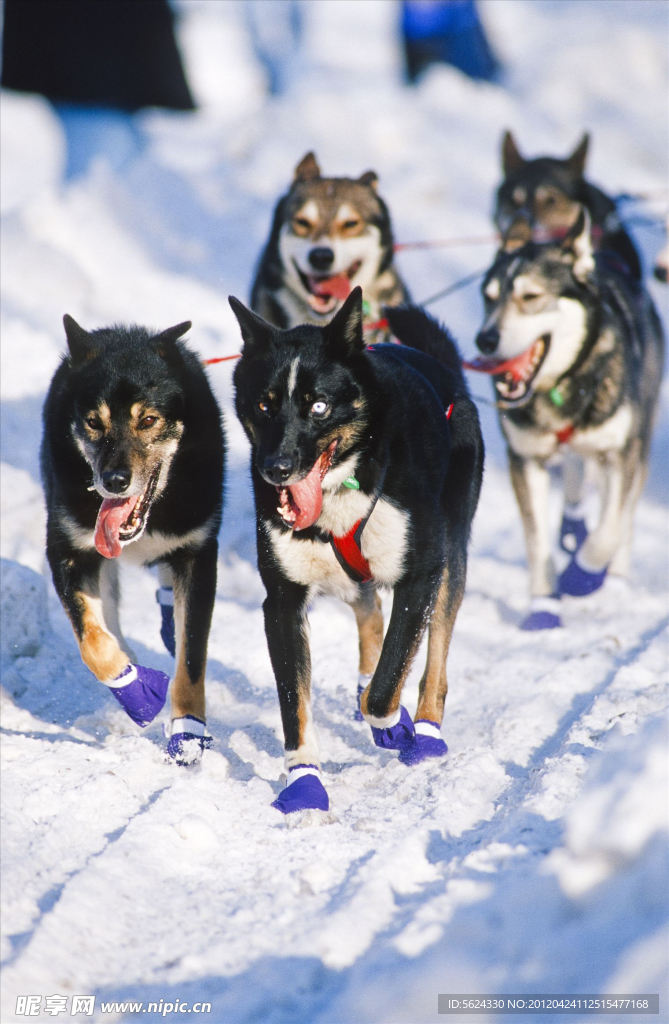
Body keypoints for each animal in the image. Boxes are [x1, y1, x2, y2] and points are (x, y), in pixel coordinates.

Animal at [42, 315, 224, 765]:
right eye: (94, 422)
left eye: (148, 420)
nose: (114, 480)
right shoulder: (69, 551)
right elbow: (93, 642)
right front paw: (137, 689)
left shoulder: (197, 554)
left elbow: (191, 658)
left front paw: (188, 732)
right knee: (107, 618)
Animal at [229, 288, 479, 815]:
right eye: (264, 404)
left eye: (319, 407)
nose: (276, 468)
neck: (342, 490)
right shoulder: (282, 600)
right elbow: (294, 703)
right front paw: (304, 781)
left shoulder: (421, 575)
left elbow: (386, 689)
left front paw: (396, 724)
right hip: (348, 577)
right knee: (369, 610)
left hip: (450, 559)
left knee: (434, 658)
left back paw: (426, 731)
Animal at [471, 208, 659, 630]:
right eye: (488, 298)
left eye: (530, 296)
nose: (484, 340)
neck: (563, 386)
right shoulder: (526, 460)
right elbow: (536, 541)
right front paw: (544, 608)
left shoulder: (621, 453)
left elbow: (609, 527)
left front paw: (582, 576)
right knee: (573, 473)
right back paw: (573, 527)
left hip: (637, 444)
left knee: (623, 516)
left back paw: (614, 579)